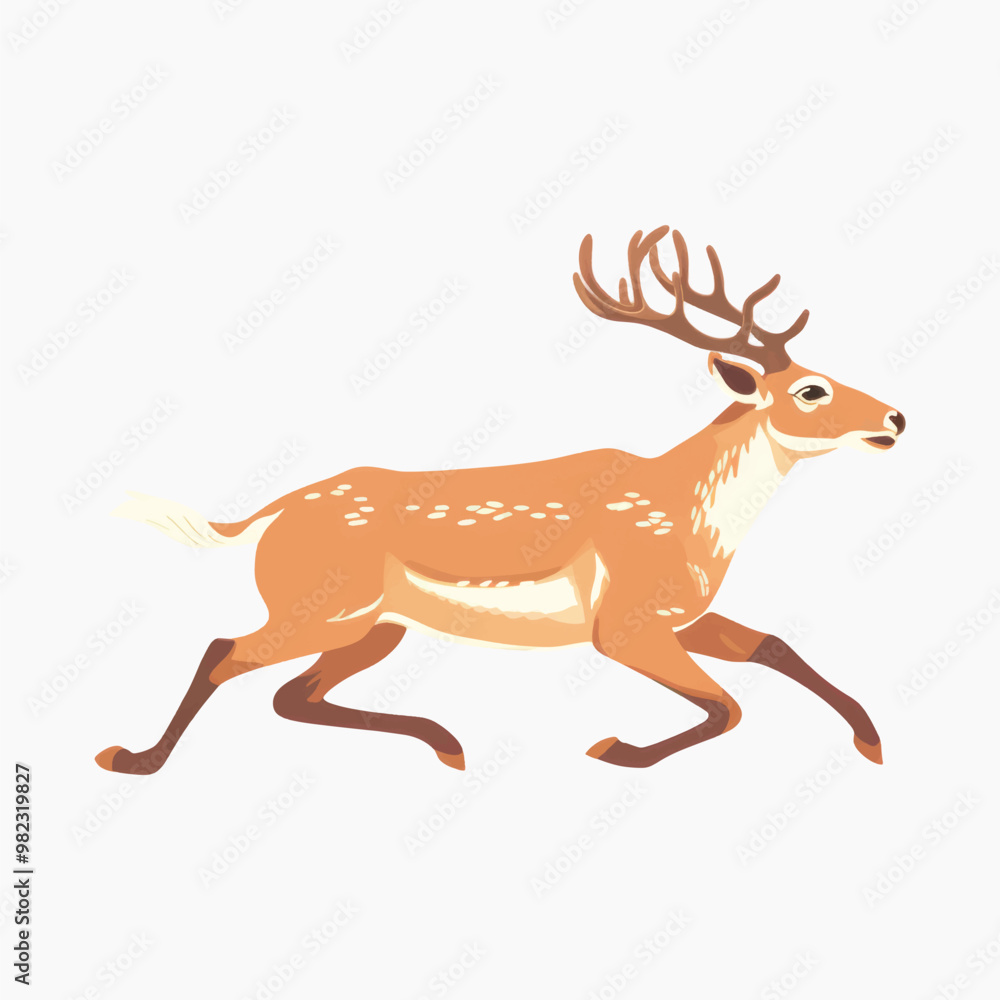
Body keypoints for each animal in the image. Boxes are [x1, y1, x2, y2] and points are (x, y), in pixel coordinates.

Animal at [95, 225, 904, 776]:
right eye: (811, 390)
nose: (896, 418)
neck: (692, 517)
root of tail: (270, 514)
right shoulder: (624, 618)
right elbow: (727, 705)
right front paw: (620, 748)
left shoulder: (679, 610)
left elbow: (774, 645)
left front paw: (871, 739)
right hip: (321, 602)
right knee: (224, 651)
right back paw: (132, 758)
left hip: (374, 624)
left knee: (292, 694)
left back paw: (446, 743)